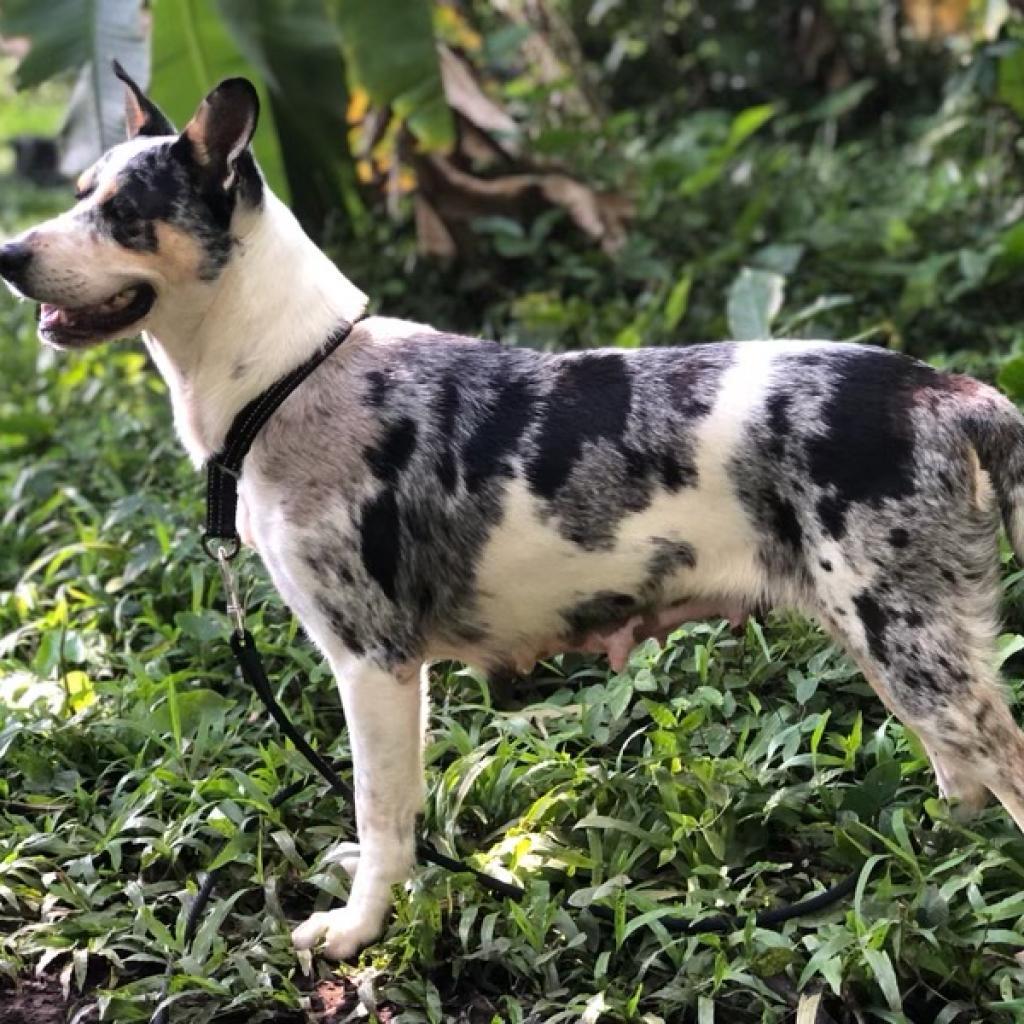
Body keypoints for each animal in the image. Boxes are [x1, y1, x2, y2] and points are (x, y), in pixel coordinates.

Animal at [2, 66, 1024, 958]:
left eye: (123, 215)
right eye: (78, 191)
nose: (9, 255)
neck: (289, 372)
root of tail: (955, 395)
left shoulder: (372, 662)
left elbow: (382, 810)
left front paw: (360, 930)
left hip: (912, 644)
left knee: (1000, 762)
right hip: (890, 641)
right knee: (962, 776)